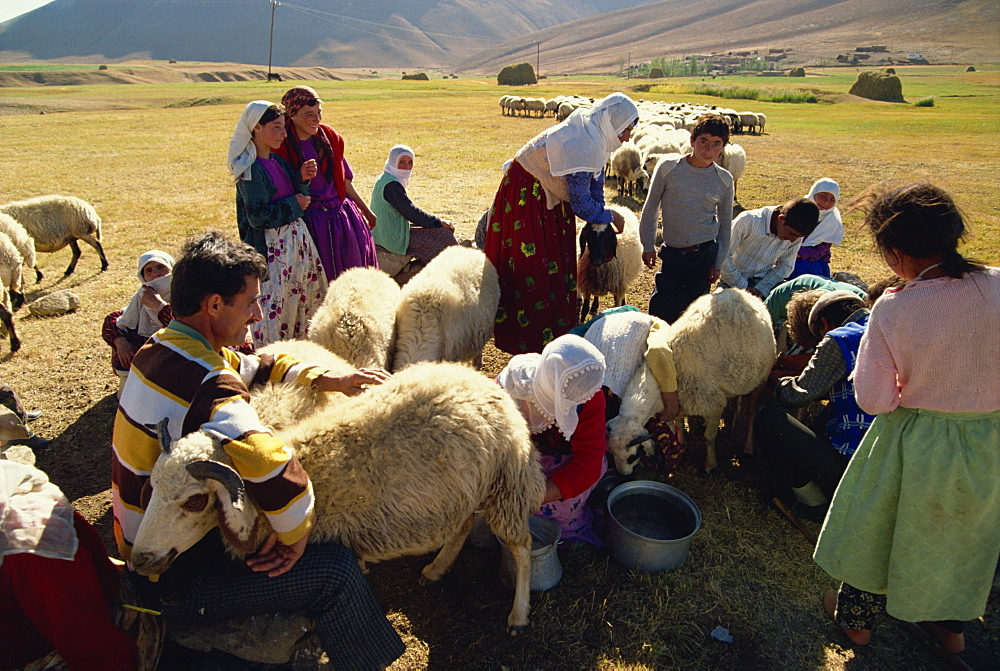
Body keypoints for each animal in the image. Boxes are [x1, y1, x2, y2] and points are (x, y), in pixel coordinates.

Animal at [129, 362, 548, 636]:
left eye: (195, 501)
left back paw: (518, 615)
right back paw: (436, 568)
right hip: (460, 490)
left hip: (505, 483)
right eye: (152, 488)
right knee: (461, 525)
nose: (139, 559)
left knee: (521, 545)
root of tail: (484, 384)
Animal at [596, 292, 776, 476]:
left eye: (633, 456)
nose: (624, 475)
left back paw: (748, 447)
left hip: (761, 379)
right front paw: (682, 446)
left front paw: (709, 465)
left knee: (752, 413)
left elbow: (709, 437)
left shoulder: (713, 405)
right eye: (611, 453)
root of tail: (745, 294)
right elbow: (680, 425)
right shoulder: (680, 403)